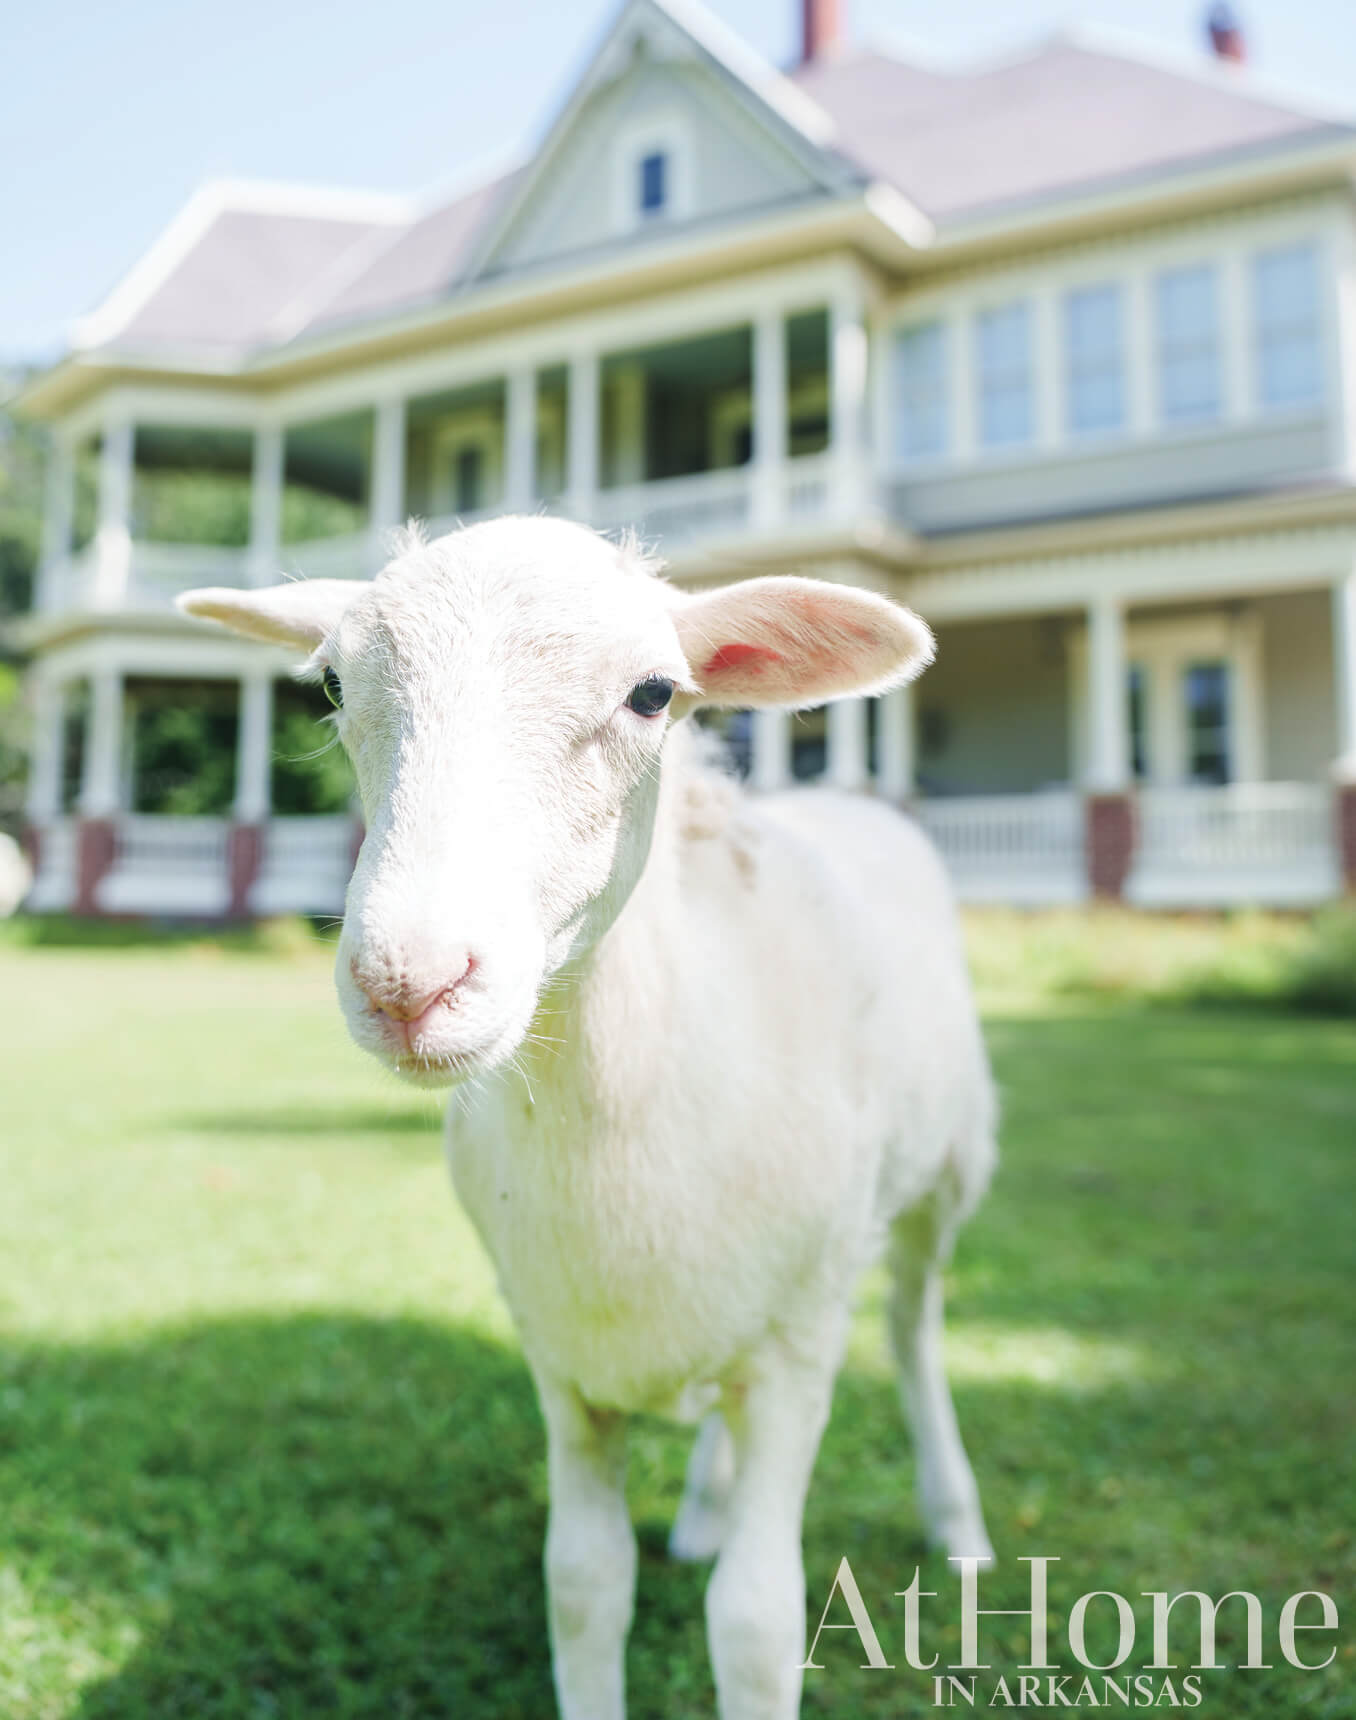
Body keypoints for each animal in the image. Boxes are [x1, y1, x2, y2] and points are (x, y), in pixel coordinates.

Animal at [179, 515, 997, 1720]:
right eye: (330, 682)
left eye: (654, 694)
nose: (408, 983)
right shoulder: (560, 1358)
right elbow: (582, 1585)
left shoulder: (798, 1348)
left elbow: (756, 1624)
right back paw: (702, 1510)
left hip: (942, 1178)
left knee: (914, 1329)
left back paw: (960, 1526)